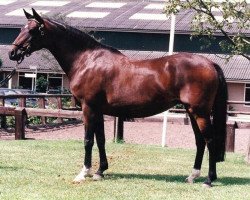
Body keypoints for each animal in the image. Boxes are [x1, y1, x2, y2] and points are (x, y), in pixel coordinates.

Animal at [8, 8, 228, 188]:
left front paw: (83, 173)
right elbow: (101, 140)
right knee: (200, 141)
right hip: (191, 111)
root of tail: (209, 63)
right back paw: (193, 176)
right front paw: (99, 171)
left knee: (209, 140)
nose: (12, 52)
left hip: (199, 112)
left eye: (33, 30)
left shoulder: (88, 108)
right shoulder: (98, 110)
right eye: (22, 27)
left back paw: (209, 180)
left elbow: (88, 140)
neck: (87, 60)